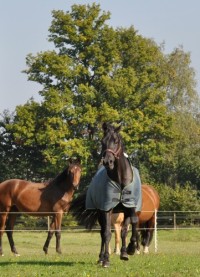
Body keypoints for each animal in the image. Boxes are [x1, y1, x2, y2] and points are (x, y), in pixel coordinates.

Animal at [70, 122, 142, 266]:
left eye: (116, 141)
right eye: (103, 142)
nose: (107, 162)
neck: (120, 181)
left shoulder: (130, 207)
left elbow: (131, 225)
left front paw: (129, 250)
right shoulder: (106, 209)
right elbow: (107, 233)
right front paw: (106, 260)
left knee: (120, 231)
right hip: (100, 213)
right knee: (103, 233)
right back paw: (101, 258)